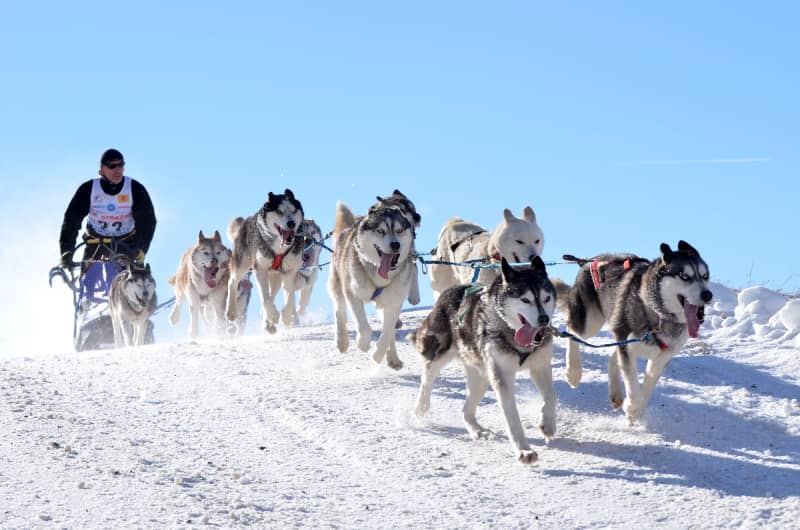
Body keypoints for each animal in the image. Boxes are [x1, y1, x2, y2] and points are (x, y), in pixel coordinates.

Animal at [227, 188, 304, 332]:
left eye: (293, 210)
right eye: (279, 211)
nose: (291, 223)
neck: (279, 248)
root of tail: (247, 220)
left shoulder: (290, 271)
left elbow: (289, 297)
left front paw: (285, 317)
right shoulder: (260, 269)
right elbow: (265, 298)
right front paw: (273, 315)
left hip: (276, 277)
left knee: (272, 295)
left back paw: (268, 324)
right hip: (242, 263)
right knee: (233, 282)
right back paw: (232, 311)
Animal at [326, 200, 416, 370]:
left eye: (399, 230)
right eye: (380, 231)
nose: (395, 245)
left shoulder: (393, 303)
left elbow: (386, 334)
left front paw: (377, 356)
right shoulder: (353, 294)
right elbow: (364, 327)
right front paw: (363, 344)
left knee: (390, 332)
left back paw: (393, 358)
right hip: (338, 284)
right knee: (339, 310)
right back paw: (342, 340)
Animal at [412, 256, 556, 462]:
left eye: (546, 298)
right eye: (525, 299)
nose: (544, 319)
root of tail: (450, 292)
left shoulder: (540, 365)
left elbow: (551, 396)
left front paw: (548, 423)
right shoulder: (502, 377)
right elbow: (512, 418)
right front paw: (524, 450)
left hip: (481, 378)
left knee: (466, 410)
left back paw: (477, 430)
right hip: (439, 354)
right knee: (427, 381)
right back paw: (421, 407)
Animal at [552, 239, 716, 420]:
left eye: (705, 276)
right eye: (685, 276)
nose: (708, 295)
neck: (657, 314)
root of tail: (590, 261)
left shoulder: (662, 357)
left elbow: (647, 387)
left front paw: (635, 411)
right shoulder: (627, 347)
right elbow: (632, 382)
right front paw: (632, 407)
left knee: (611, 357)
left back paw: (615, 392)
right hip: (591, 322)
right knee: (572, 332)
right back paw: (573, 373)